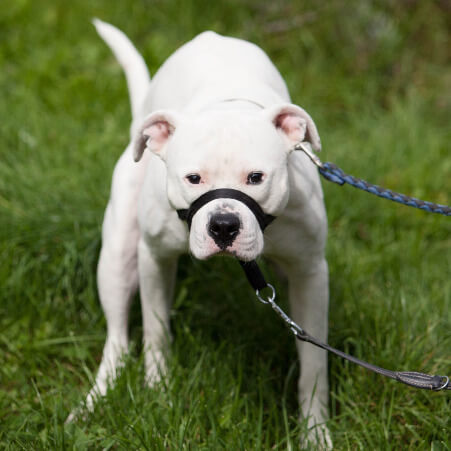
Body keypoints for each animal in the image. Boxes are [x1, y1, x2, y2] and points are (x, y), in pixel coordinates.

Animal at [79, 19, 330, 446]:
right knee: (117, 339)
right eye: (193, 178)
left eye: (256, 177)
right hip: (117, 254)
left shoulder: (310, 272)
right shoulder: (154, 257)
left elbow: (314, 364)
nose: (224, 225)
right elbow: (156, 331)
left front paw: (316, 434)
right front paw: (158, 393)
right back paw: (94, 399)